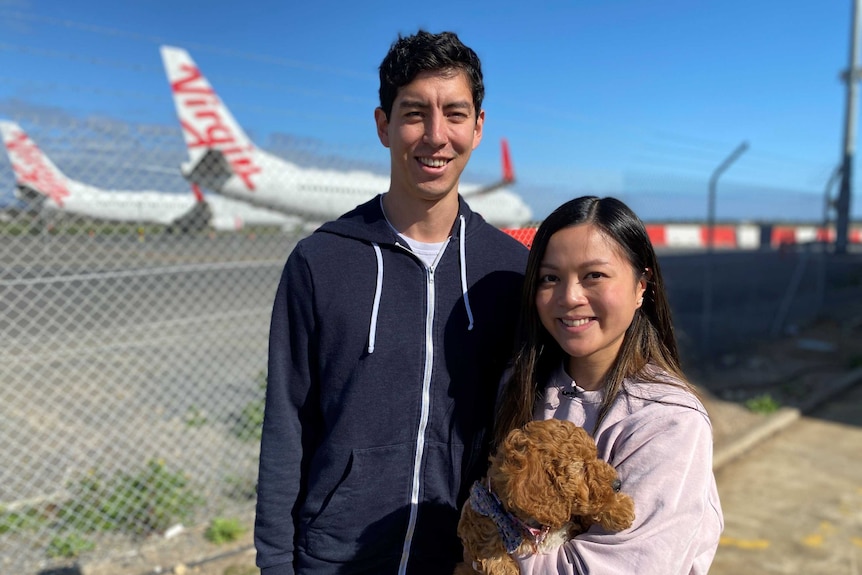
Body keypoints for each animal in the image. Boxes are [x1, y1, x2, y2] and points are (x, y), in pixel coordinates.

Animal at [452, 418, 636, 575]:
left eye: (595, 457)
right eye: (581, 467)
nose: (618, 484)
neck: (538, 526)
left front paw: (620, 508)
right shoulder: (481, 511)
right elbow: (487, 541)